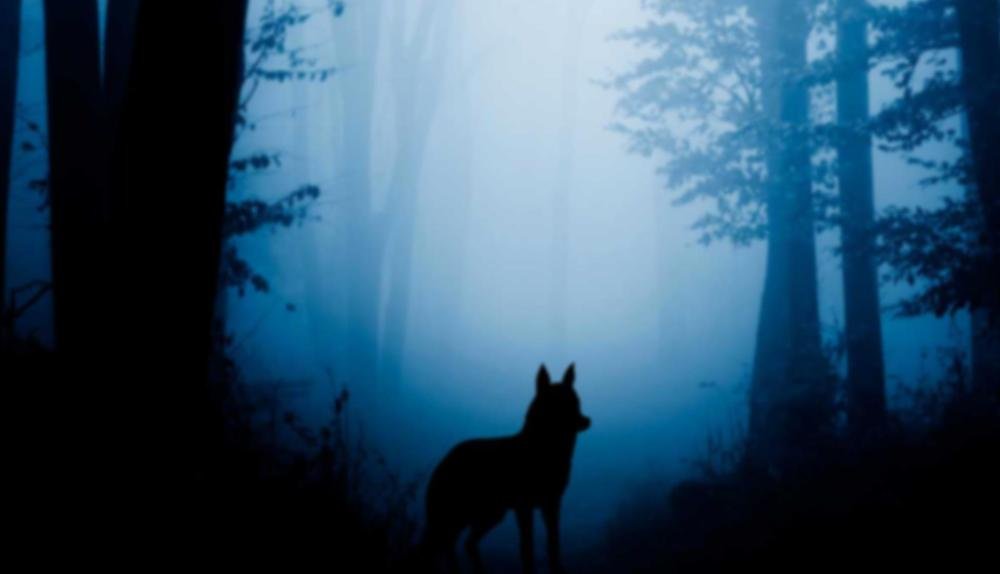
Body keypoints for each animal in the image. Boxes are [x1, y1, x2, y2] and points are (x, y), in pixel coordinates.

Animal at [422, 363, 591, 574]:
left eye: (577, 401)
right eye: (560, 403)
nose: (587, 421)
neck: (543, 449)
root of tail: (446, 456)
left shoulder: (552, 505)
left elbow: (554, 545)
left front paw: (556, 568)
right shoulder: (524, 507)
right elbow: (527, 548)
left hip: (490, 515)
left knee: (463, 544)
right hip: (457, 515)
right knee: (442, 546)